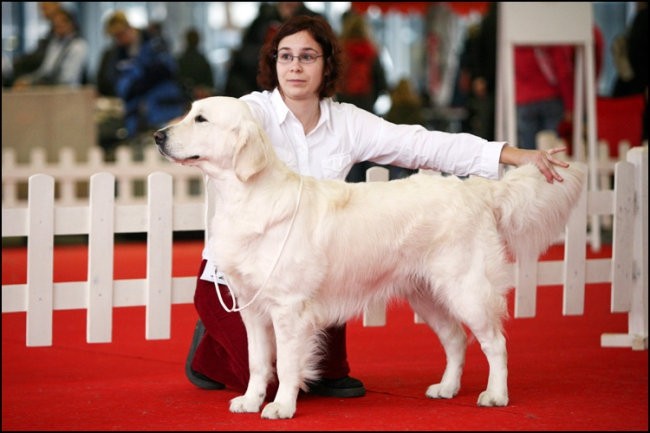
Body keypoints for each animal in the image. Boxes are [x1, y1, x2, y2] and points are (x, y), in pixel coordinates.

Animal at [154, 95, 584, 418]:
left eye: (201, 119)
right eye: (189, 113)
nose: (158, 135)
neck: (246, 196)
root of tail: (477, 190)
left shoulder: (289, 308)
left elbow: (288, 362)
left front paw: (281, 406)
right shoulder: (252, 307)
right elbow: (258, 361)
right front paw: (250, 400)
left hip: (466, 289)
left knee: (495, 342)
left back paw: (495, 395)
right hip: (426, 294)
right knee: (456, 340)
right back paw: (446, 387)